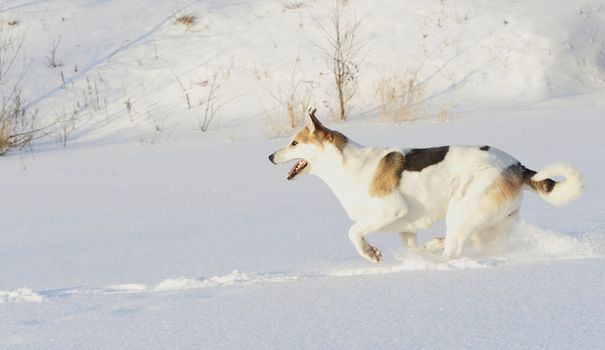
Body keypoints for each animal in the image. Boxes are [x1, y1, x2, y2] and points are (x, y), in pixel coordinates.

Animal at [266, 109, 584, 262]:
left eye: (294, 143)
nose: (270, 157)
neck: (347, 165)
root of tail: (516, 166)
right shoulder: (406, 229)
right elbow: (411, 246)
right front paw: (421, 251)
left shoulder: (390, 210)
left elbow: (354, 233)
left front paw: (371, 253)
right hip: (488, 227)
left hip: (462, 212)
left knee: (453, 251)